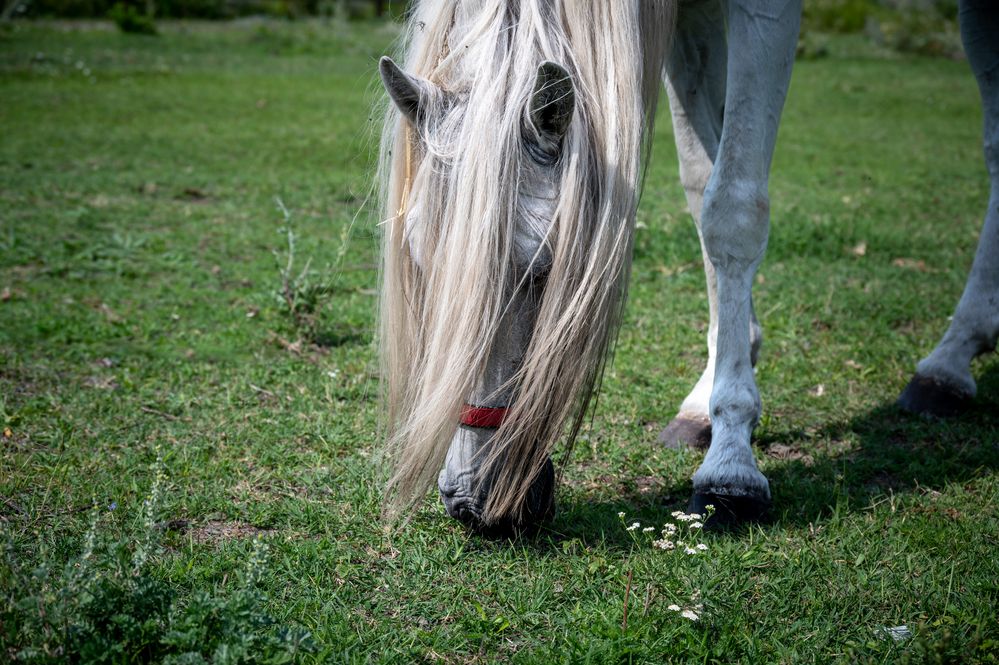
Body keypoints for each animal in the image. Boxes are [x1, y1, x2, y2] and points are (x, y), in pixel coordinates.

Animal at [376, 0, 999, 536]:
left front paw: (731, 466)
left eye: (543, 271)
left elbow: (732, 208)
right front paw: (710, 397)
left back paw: (948, 362)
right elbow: (703, 184)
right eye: (419, 265)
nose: (470, 499)